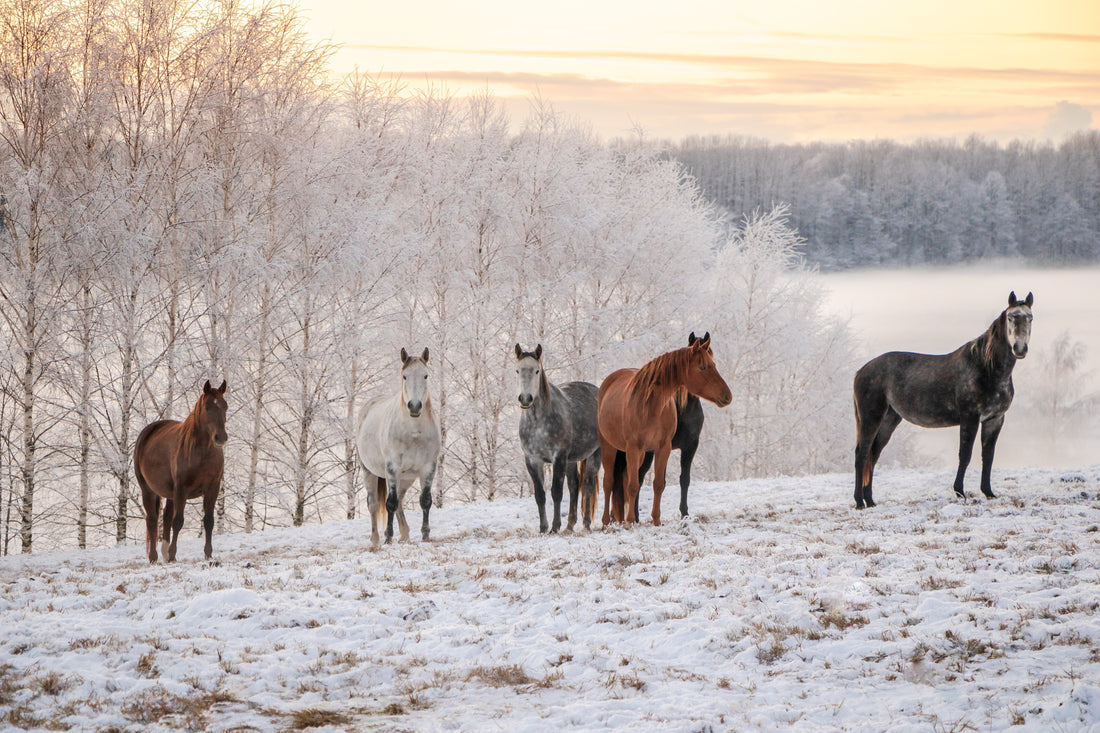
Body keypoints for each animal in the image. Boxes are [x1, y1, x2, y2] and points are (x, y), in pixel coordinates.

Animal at [134, 380, 228, 563]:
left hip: (170, 494)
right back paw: (154, 557)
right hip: (148, 490)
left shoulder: (212, 488)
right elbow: (178, 522)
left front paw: (208, 554)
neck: (202, 453)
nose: (221, 437)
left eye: (225, 406)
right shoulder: (181, 489)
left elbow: (209, 521)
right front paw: (172, 555)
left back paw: (163, 553)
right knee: (152, 519)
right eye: (207, 407)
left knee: (165, 517)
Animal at [356, 348, 441, 551]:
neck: (414, 431)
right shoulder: (393, 467)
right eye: (404, 376)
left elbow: (425, 501)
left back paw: (405, 534)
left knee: (401, 500)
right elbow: (390, 503)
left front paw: (425, 535)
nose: (415, 406)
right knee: (374, 504)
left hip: (406, 477)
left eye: (425, 375)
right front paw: (388, 538)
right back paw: (376, 539)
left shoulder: (428, 467)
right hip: (369, 472)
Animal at [514, 344, 601, 533]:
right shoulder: (532, 460)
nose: (525, 399)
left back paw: (586, 524)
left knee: (588, 485)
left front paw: (554, 527)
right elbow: (540, 495)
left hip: (596, 453)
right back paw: (570, 525)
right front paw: (543, 528)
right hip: (571, 460)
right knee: (575, 486)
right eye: (517, 370)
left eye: (537, 371)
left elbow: (556, 492)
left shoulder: (559, 457)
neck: (539, 422)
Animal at [852, 291, 1033, 509]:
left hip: (889, 419)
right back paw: (859, 502)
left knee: (872, 455)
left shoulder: (994, 419)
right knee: (861, 455)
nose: (1020, 348)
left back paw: (870, 501)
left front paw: (988, 493)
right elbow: (965, 455)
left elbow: (988, 456)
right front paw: (960, 492)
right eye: (1011, 317)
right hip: (871, 418)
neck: (985, 368)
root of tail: (862, 371)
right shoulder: (970, 418)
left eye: (1030, 318)